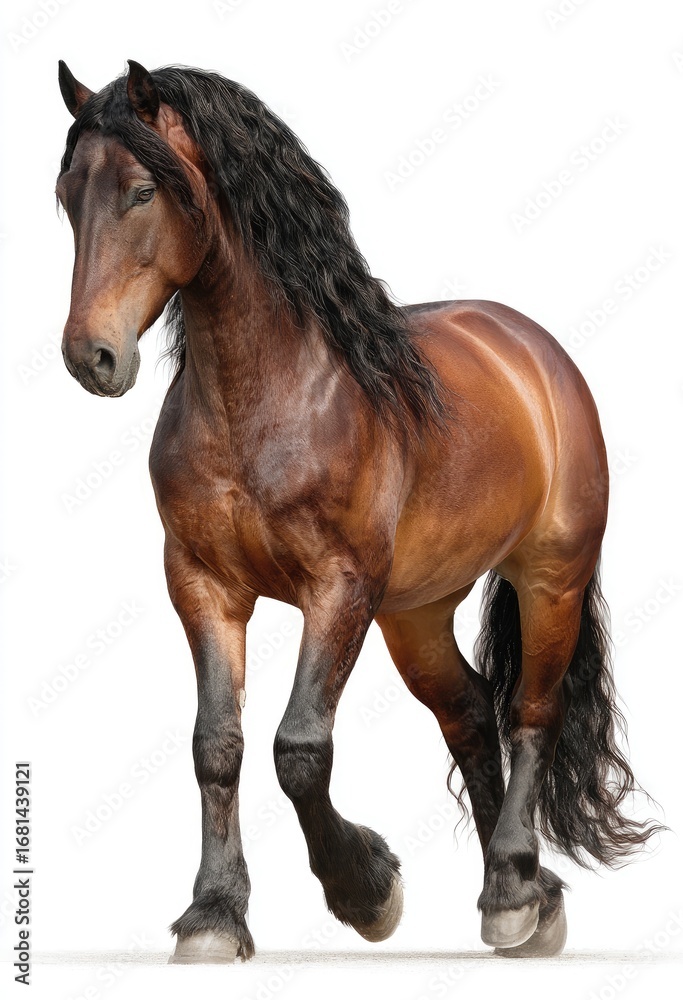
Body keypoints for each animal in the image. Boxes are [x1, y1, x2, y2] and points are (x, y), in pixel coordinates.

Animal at [55, 59, 659, 964]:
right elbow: (216, 746)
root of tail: (532, 352)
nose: (90, 357)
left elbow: (299, 748)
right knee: (468, 714)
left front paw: (366, 889)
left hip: (548, 579)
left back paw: (518, 892)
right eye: (66, 196)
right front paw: (214, 914)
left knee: (529, 716)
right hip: (415, 613)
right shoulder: (201, 585)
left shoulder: (338, 589)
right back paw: (515, 890)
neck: (266, 401)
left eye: (139, 191)